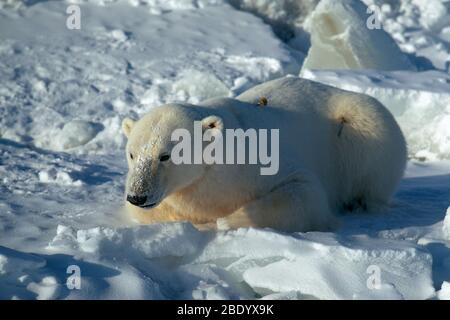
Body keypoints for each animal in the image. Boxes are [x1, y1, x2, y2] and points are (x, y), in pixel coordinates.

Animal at [121, 77, 406, 232]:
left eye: (165, 156)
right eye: (132, 155)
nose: (137, 195)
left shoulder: (257, 163)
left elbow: (304, 191)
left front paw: (228, 220)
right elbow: (151, 213)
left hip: (362, 130)